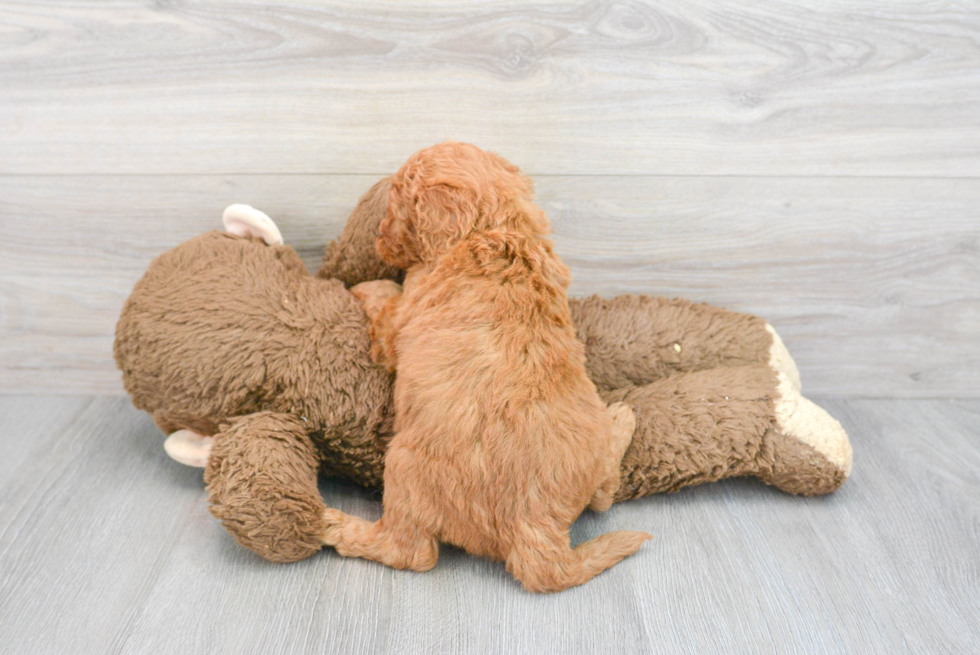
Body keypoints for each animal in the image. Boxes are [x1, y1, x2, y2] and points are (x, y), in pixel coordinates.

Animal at [328, 141, 652, 592]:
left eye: (396, 205)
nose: (379, 242)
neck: (494, 230)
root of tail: (538, 529)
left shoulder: (398, 323)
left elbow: (383, 297)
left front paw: (362, 285)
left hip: (403, 467)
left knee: (410, 551)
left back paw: (334, 525)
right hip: (591, 454)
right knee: (604, 495)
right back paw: (622, 416)